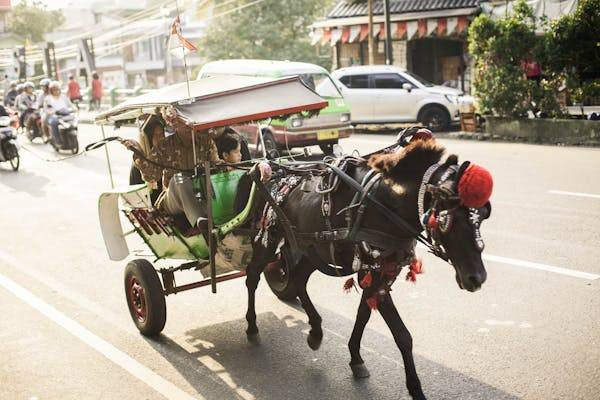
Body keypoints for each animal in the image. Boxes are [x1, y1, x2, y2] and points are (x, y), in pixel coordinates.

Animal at [244, 138, 492, 400]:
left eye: (483, 216)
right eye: (450, 220)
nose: (477, 278)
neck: (387, 204)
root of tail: (273, 170)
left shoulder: (380, 272)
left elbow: (363, 314)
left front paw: (355, 358)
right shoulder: (373, 273)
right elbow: (402, 335)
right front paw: (415, 388)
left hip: (313, 248)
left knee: (299, 280)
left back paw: (316, 330)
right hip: (268, 240)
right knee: (252, 276)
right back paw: (252, 327)